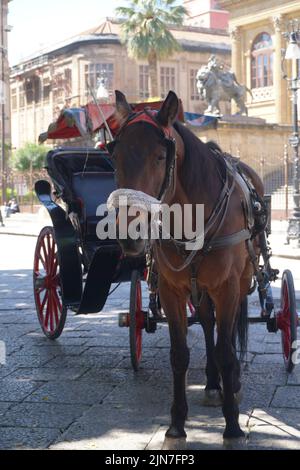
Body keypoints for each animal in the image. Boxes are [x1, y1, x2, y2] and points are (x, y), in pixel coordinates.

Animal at [108, 90, 264, 446]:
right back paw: (213, 384)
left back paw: (231, 384)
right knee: (207, 323)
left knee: (227, 331)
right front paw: (177, 424)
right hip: (200, 288)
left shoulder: (227, 287)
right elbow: (179, 354)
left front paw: (232, 426)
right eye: (115, 156)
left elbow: (226, 351)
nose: (129, 234)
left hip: (241, 279)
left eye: (159, 157)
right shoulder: (172, 290)